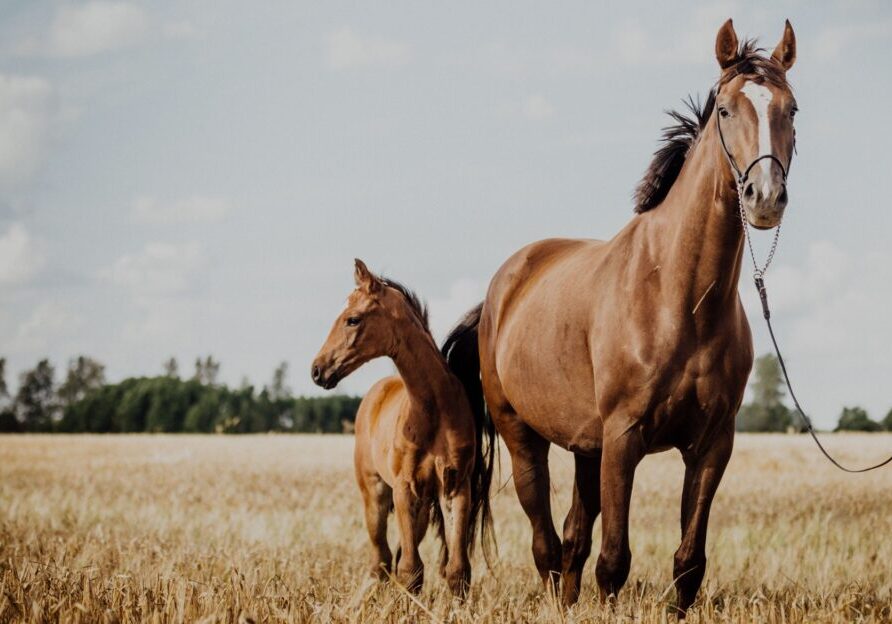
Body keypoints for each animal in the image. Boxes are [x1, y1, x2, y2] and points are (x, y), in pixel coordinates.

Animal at [311, 259, 496, 596]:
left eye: (352, 319)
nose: (317, 370)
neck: (433, 411)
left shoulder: (455, 487)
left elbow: (456, 570)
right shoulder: (404, 489)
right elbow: (411, 571)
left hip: (420, 507)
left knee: (393, 557)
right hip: (375, 494)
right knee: (381, 560)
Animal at [445, 19, 798, 616]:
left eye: (791, 109)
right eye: (727, 110)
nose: (764, 196)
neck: (679, 297)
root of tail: (498, 292)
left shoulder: (712, 445)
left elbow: (687, 563)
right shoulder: (624, 437)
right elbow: (614, 562)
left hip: (587, 447)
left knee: (571, 538)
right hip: (525, 437)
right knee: (546, 542)